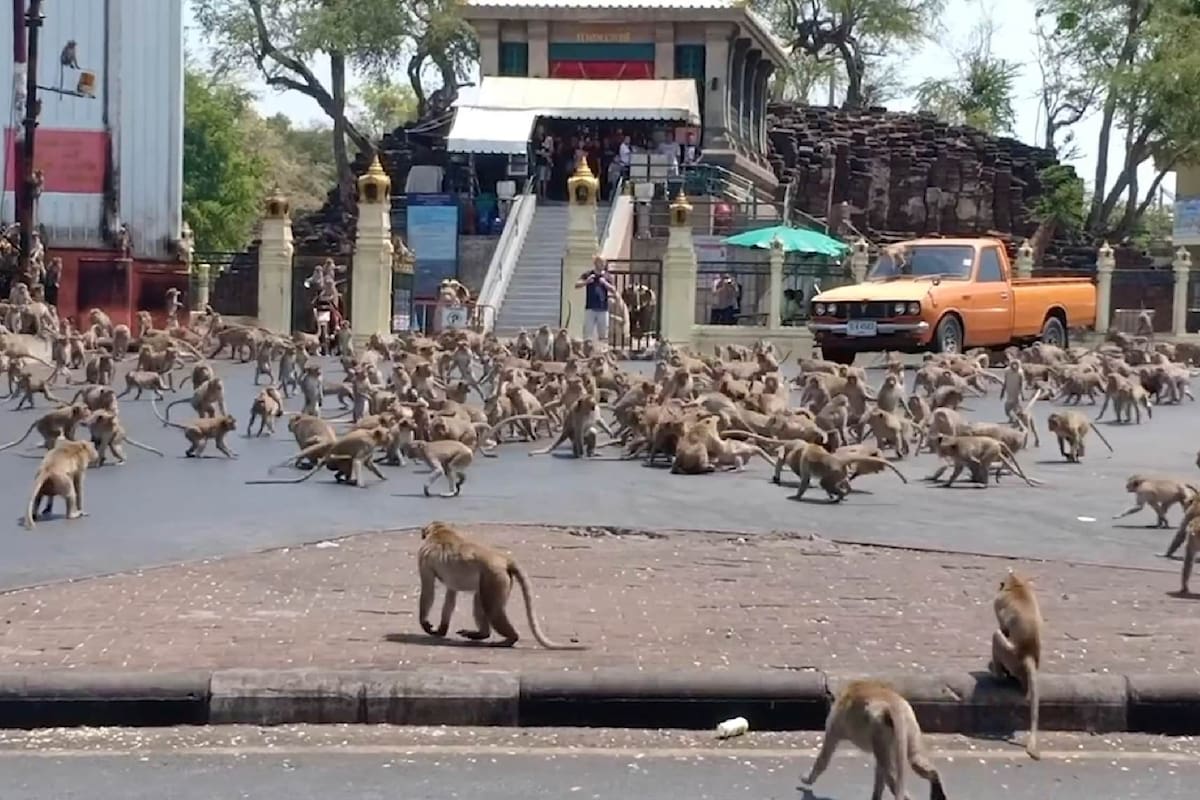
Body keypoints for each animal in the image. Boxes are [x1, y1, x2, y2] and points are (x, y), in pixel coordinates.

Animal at [417, 521, 585, 649]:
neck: (440, 531)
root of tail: (503, 558)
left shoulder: (423, 558)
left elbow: (428, 590)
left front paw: (425, 623)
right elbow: (451, 593)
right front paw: (441, 630)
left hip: (494, 577)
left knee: (492, 609)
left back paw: (510, 638)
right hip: (496, 579)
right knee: (480, 600)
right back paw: (482, 634)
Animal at [801, 678, 948, 800]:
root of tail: (893, 705)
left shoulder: (835, 722)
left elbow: (825, 755)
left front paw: (807, 779)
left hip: (878, 726)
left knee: (889, 772)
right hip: (908, 722)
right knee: (914, 760)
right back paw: (934, 782)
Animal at [989, 570, 1043, 760]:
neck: (1017, 583)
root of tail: (1028, 655)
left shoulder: (998, 601)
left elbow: (1002, 626)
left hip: (1010, 656)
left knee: (997, 634)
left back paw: (997, 674)